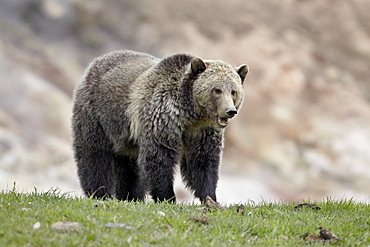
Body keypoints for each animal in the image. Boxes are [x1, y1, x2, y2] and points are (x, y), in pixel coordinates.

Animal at [71, 50, 247, 203]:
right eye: (217, 90)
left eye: (233, 91)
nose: (230, 111)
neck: (191, 115)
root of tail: (96, 62)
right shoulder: (162, 119)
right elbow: (158, 158)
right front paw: (167, 198)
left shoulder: (202, 132)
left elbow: (202, 162)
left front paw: (210, 198)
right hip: (97, 115)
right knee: (94, 154)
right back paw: (99, 193)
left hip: (126, 136)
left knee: (129, 167)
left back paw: (131, 197)